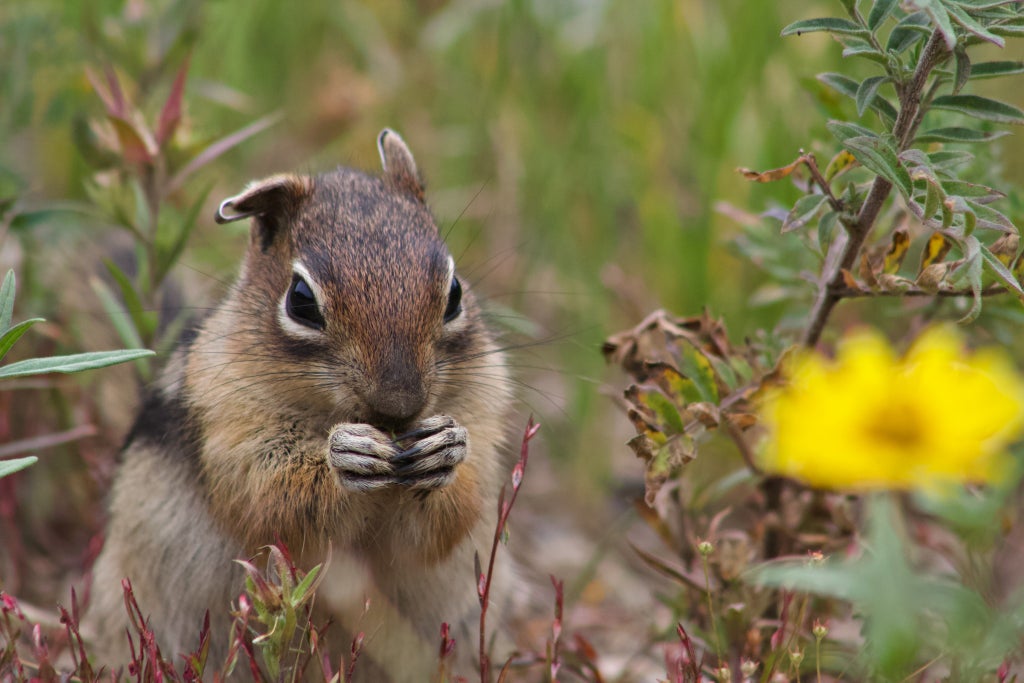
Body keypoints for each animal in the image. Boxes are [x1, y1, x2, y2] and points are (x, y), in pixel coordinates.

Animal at [87, 129, 515, 681]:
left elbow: (447, 518)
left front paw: (445, 450)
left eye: (456, 293)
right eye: (301, 300)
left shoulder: (485, 405)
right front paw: (345, 456)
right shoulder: (227, 420)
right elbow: (269, 495)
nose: (399, 405)